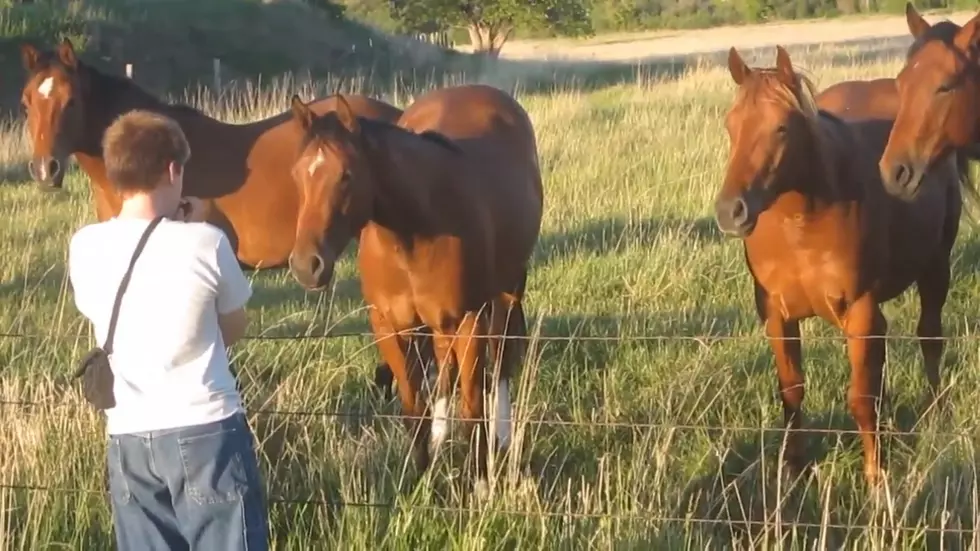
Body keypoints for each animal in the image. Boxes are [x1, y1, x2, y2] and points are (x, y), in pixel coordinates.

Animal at [288, 86, 544, 496]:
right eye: (297, 174)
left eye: (346, 175)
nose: (305, 265)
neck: (413, 231)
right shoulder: (390, 325)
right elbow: (414, 409)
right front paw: (419, 482)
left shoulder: (469, 319)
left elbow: (473, 407)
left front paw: (480, 486)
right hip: (436, 322)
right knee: (444, 366)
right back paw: (441, 438)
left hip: (507, 288)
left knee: (501, 356)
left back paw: (503, 436)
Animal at [716, 46, 968, 488]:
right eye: (731, 125)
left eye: (782, 128)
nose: (731, 211)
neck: (802, 226)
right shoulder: (777, 316)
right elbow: (792, 392)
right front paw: (793, 469)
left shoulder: (861, 311)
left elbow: (860, 398)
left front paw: (875, 476)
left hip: (935, 268)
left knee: (930, 338)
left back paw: (936, 410)